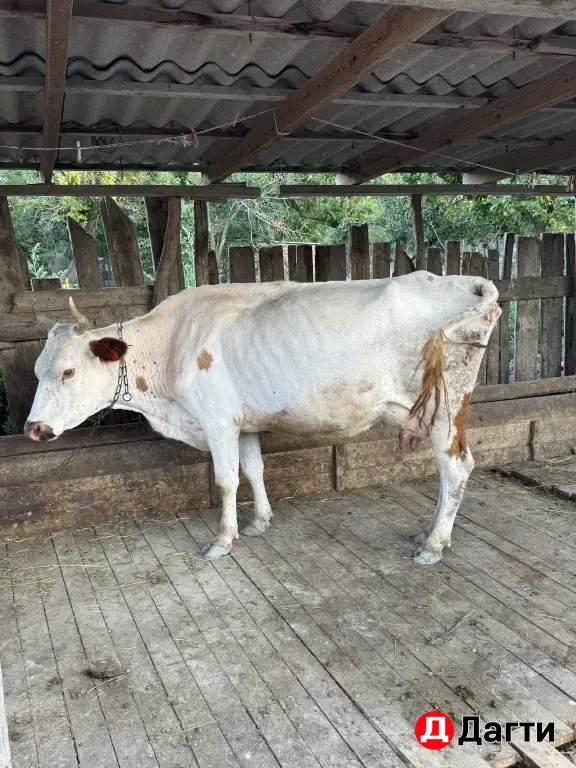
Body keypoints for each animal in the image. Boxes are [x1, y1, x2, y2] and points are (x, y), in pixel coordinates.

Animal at [25, 272, 500, 564]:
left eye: (67, 371)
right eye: (36, 369)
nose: (33, 428)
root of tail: (463, 281)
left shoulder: (217, 420)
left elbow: (226, 480)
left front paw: (222, 539)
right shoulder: (243, 423)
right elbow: (253, 469)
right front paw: (259, 522)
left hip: (445, 411)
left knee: (456, 469)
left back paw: (434, 544)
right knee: (451, 472)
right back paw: (428, 533)